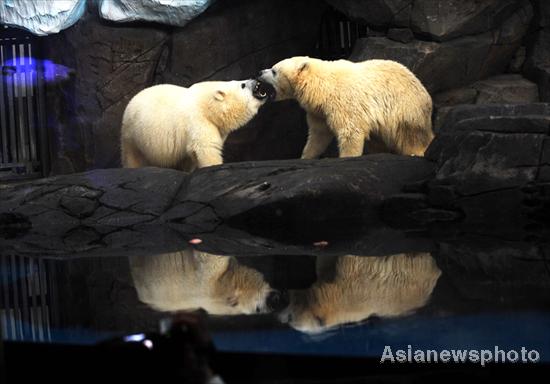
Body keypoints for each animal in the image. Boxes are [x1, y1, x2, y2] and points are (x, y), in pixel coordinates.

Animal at [121, 80, 276, 170]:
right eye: (242, 85)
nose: (256, 81)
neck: (208, 105)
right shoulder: (198, 121)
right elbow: (206, 148)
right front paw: (214, 166)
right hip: (132, 134)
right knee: (132, 155)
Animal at [258, 56, 436, 158]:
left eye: (274, 70)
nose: (260, 72)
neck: (322, 87)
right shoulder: (319, 111)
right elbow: (318, 134)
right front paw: (306, 156)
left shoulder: (343, 101)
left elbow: (351, 132)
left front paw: (347, 157)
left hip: (405, 109)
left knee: (411, 136)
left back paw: (417, 151)